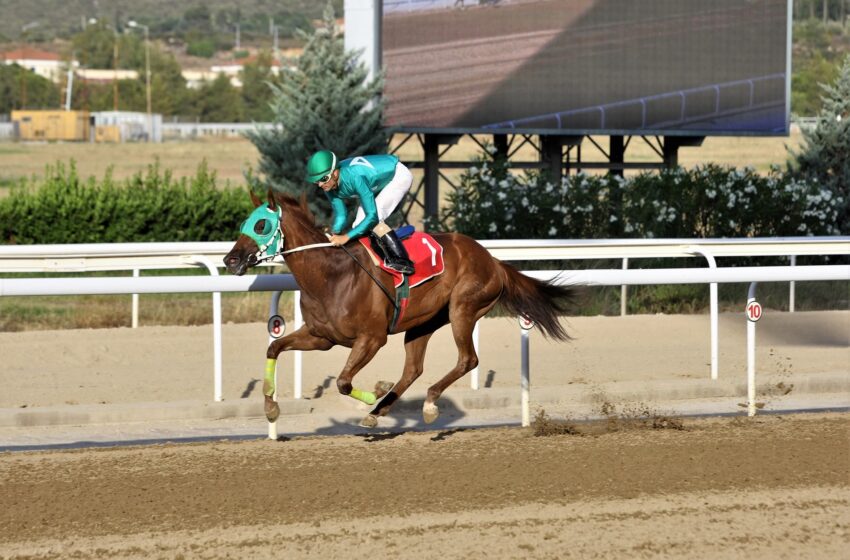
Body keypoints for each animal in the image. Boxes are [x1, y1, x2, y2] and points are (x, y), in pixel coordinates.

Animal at [222, 190, 572, 426]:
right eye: (245, 222)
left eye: (262, 225)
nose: (230, 259)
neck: (331, 274)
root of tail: (494, 261)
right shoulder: (321, 337)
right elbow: (274, 348)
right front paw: (270, 408)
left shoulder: (372, 338)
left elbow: (343, 381)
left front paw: (374, 391)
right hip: (423, 323)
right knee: (413, 369)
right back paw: (381, 409)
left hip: (463, 308)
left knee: (467, 360)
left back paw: (425, 404)